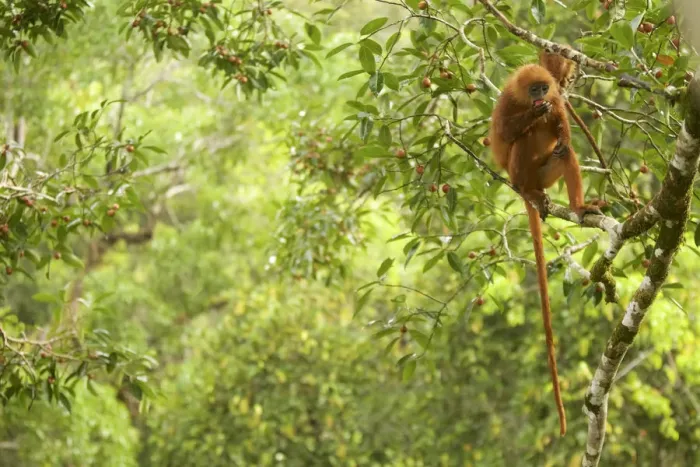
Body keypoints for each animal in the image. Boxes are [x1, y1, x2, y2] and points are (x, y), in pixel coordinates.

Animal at [488, 63, 601, 437]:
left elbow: (563, 130)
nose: (540, 97)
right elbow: (504, 131)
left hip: (547, 172)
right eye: (532, 90)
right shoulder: (507, 101)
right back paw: (529, 192)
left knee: (565, 153)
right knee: (523, 140)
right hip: (519, 173)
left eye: (542, 87)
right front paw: (533, 114)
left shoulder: (557, 101)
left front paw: (551, 116)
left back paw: (579, 207)